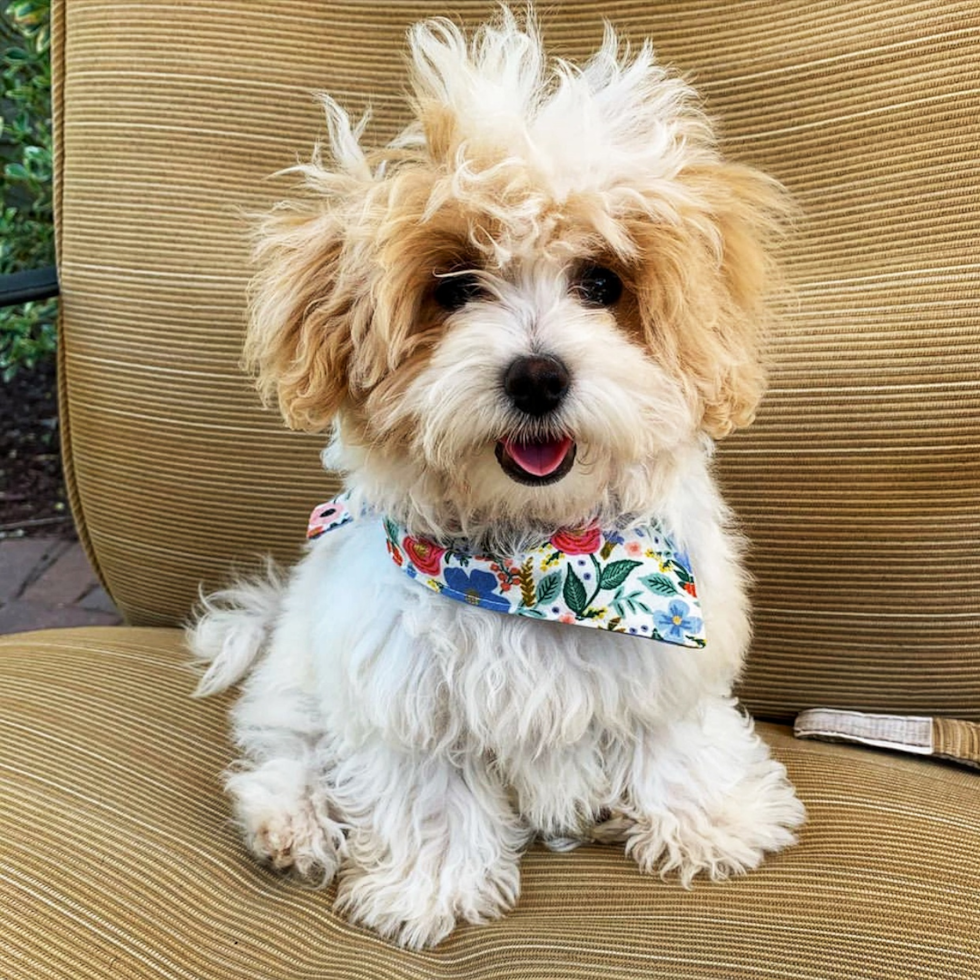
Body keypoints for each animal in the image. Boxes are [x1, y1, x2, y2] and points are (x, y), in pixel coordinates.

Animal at [189, 9, 804, 948]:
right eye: (453, 287)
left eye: (601, 280)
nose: (538, 377)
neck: (539, 559)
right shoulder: (400, 691)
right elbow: (429, 794)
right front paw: (429, 890)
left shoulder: (666, 668)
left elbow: (674, 741)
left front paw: (712, 821)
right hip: (299, 674)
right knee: (286, 746)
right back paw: (290, 822)